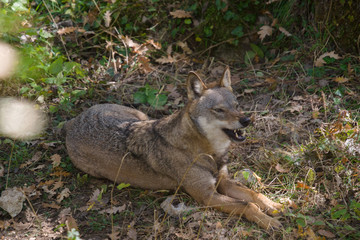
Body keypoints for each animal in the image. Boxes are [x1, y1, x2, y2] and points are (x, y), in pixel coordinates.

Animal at [65, 67, 284, 229]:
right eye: (219, 110)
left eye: (237, 105)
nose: (247, 120)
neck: (209, 153)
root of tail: (74, 121)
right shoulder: (206, 195)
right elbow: (247, 204)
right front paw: (269, 221)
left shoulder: (223, 182)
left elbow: (255, 195)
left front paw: (277, 206)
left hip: (142, 117)